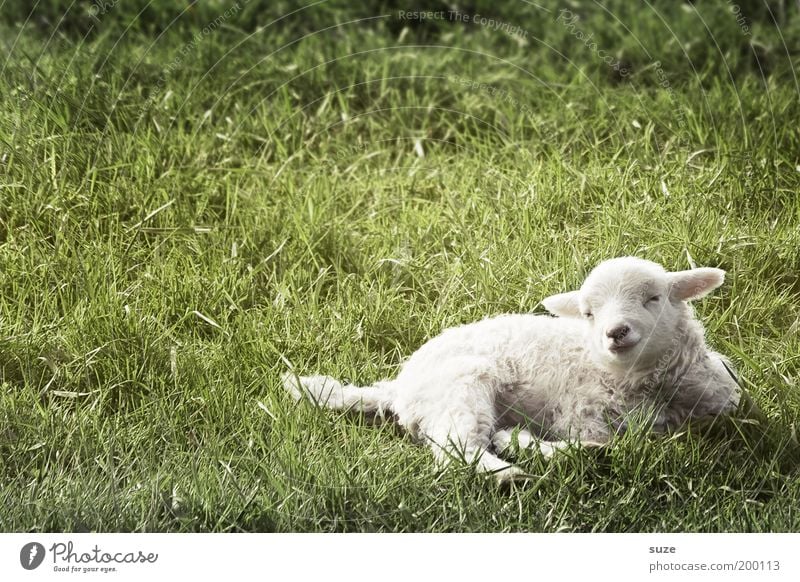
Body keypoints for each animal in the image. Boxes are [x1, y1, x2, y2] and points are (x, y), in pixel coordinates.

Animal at [282, 256, 744, 484]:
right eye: (588, 313)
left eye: (653, 297)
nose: (615, 332)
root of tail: (398, 387)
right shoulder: (583, 413)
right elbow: (617, 439)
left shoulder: (727, 402)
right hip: (459, 387)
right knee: (457, 449)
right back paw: (512, 473)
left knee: (487, 437)